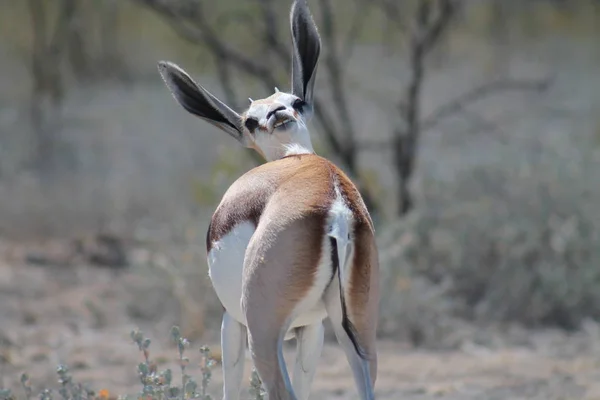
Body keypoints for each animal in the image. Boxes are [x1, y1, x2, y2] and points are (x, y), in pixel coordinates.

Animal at [157, 1, 378, 398]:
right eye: (250, 119)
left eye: (296, 100)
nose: (278, 114)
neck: (294, 157)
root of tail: (336, 206)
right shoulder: (312, 329)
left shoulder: (231, 322)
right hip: (359, 330)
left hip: (263, 332)